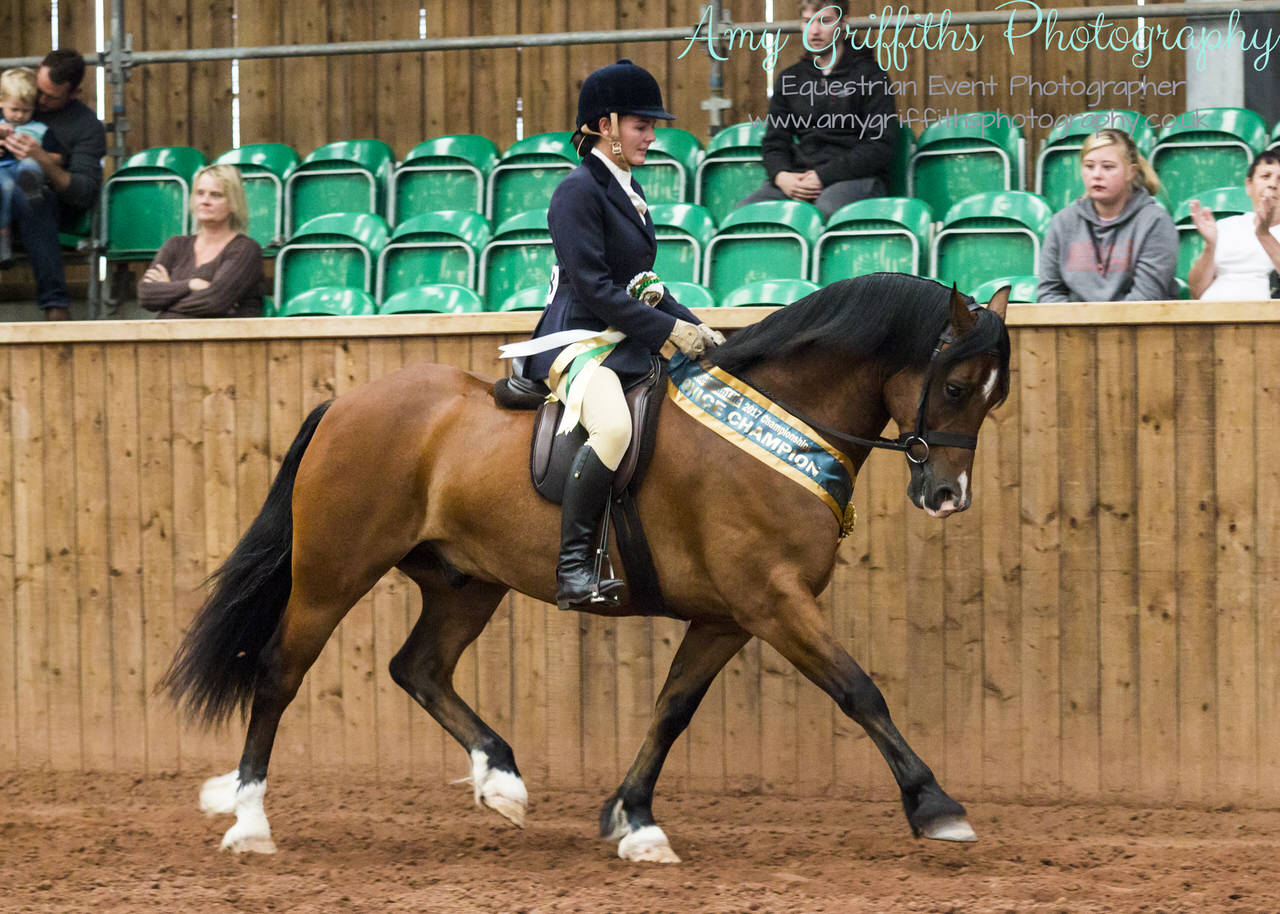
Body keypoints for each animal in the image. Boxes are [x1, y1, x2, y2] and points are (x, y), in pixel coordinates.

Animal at [160, 273, 1008, 860]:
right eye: (955, 386)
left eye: (992, 402)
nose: (947, 496)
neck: (782, 422)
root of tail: (344, 405)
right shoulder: (772, 601)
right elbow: (859, 690)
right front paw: (937, 807)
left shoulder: (728, 615)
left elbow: (672, 708)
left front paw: (633, 821)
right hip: (334, 571)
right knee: (280, 673)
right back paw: (250, 820)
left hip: (466, 583)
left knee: (419, 667)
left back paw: (501, 781)